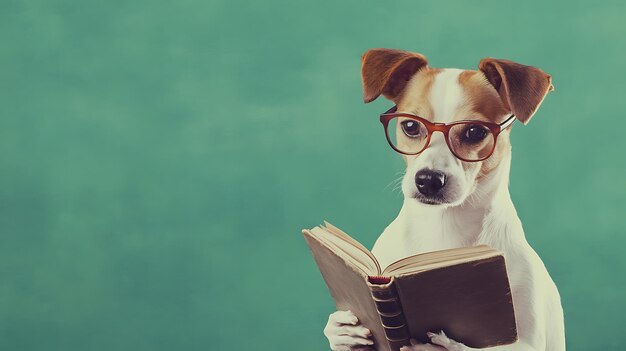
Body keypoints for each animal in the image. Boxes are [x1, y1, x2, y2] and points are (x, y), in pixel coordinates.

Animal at [324, 49, 564, 351]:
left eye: (475, 132)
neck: (442, 225)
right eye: (410, 126)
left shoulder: (527, 339)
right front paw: (341, 330)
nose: (428, 180)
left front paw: (446, 343)